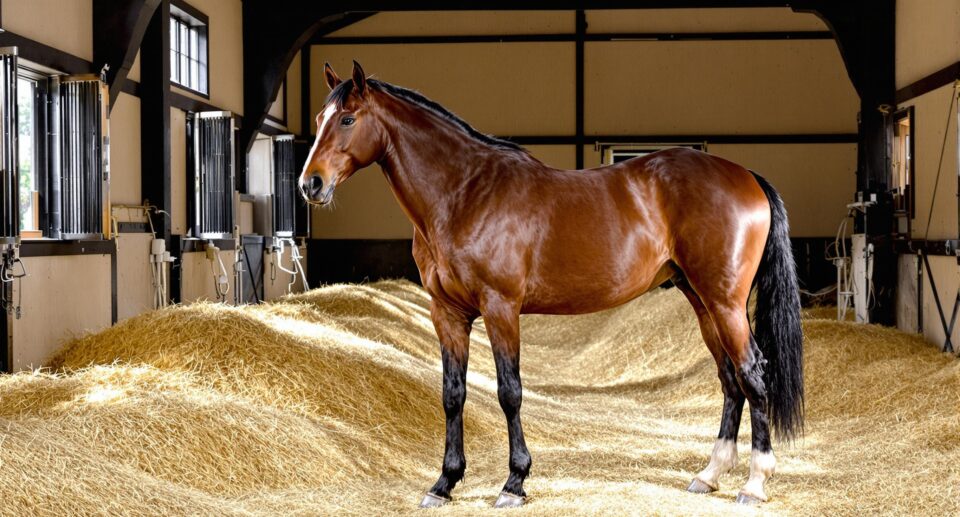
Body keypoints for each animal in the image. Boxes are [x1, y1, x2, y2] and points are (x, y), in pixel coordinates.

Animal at [300, 61, 804, 508]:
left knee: (752, 374)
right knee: (730, 381)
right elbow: (452, 394)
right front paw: (444, 483)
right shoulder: (448, 314)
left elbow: (509, 392)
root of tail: (746, 176)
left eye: (347, 118)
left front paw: (514, 483)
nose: (311, 185)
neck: (464, 194)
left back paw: (754, 484)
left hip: (725, 304)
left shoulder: (501, 308)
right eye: (320, 120)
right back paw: (709, 475)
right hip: (702, 302)